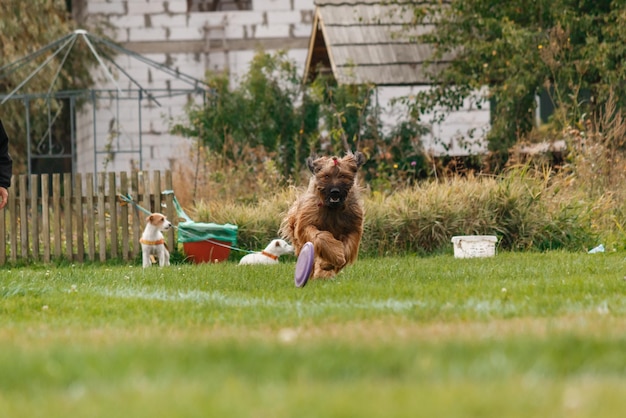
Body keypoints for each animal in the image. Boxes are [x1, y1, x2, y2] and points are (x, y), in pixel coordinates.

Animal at [280, 152, 366, 280]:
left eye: (343, 175)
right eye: (326, 176)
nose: (335, 191)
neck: (332, 208)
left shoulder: (353, 227)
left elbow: (347, 247)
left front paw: (332, 262)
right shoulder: (307, 221)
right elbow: (320, 236)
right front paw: (336, 257)